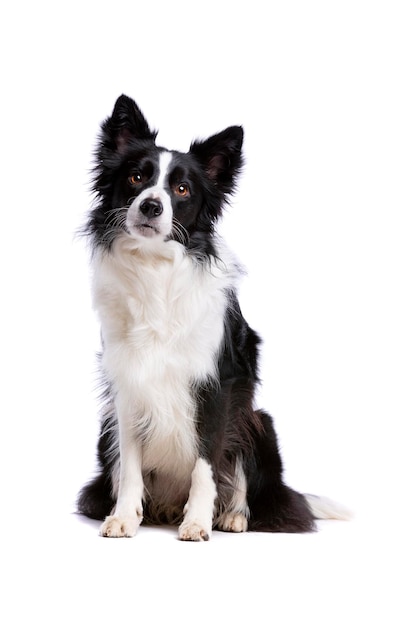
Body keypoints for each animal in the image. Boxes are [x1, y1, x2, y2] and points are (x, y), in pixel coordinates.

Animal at [76, 95, 346, 540]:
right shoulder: (128, 385)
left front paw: (198, 522)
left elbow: (207, 463)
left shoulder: (218, 384)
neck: (156, 269)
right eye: (136, 177)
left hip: (260, 422)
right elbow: (130, 464)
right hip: (104, 429)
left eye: (182, 189)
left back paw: (232, 517)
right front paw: (124, 517)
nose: (151, 205)